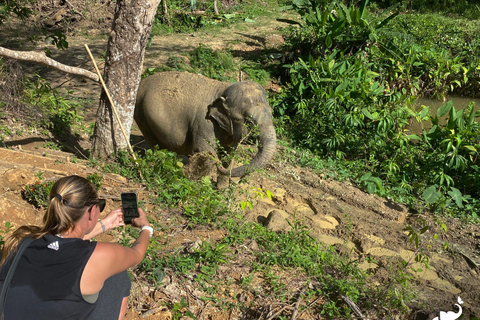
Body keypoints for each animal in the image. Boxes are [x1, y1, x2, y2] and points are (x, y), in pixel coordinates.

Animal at [134, 70, 278, 178]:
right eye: (249, 121)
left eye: (272, 114)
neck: (223, 89)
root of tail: (141, 81)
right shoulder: (203, 123)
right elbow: (205, 150)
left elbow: (228, 153)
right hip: (141, 114)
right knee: (157, 145)